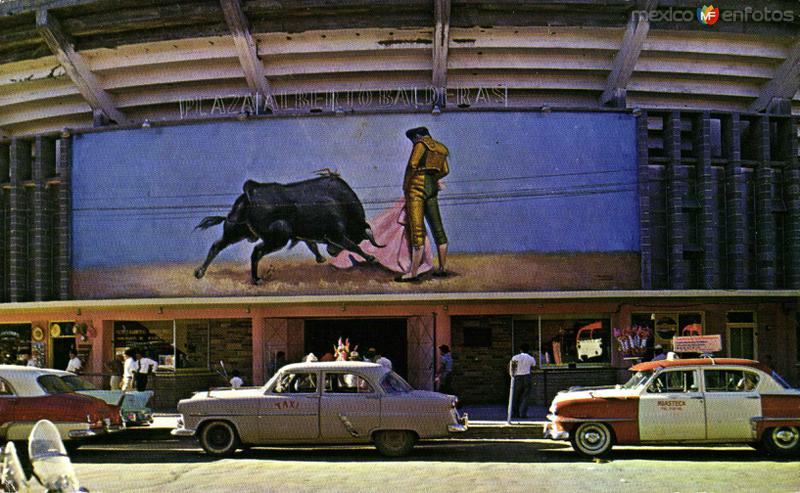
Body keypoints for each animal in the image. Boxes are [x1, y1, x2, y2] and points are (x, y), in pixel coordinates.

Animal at [194, 170, 382, 282]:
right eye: (358, 236)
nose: (332, 252)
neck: (341, 201)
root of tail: (251, 192)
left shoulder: (307, 235)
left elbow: (312, 245)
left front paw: (320, 258)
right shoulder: (336, 235)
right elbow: (353, 247)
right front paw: (372, 258)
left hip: (236, 231)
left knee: (217, 245)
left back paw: (200, 272)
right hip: (278, 238)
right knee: (256, 251)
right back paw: (256, 279)